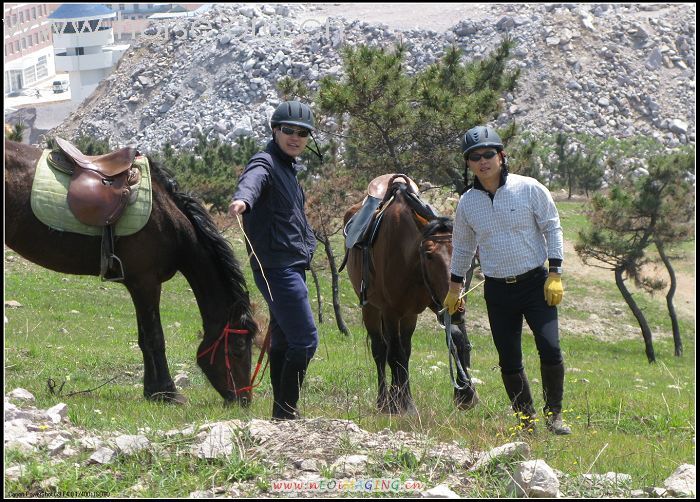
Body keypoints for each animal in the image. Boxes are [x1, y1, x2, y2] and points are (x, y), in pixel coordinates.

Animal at [4, 139, 258, 406]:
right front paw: (167, 392)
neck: (169, 220)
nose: (243, 400)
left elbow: (143, 338)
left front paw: (152, 391)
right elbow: (155, 337)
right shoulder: (147, 283)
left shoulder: (138, 284)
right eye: (238, 347)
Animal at [344, 178, 478, 414]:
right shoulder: (390, 311)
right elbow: (394, 353)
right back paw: (384, 400)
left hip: (409, 315)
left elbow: (456, 339)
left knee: (403, 348)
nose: (458, 307)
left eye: (463, 253)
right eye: (429, 254)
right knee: (381, 350)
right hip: (372, 308)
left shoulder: (434, 303)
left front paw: (465, 393)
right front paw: (400, 404)